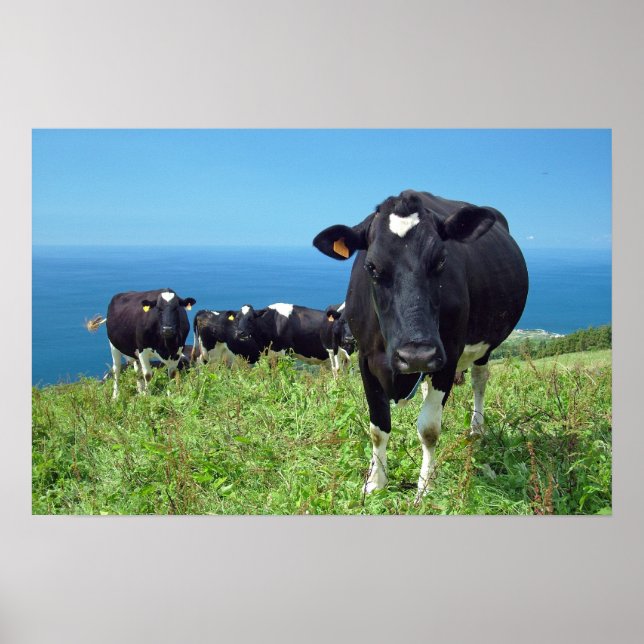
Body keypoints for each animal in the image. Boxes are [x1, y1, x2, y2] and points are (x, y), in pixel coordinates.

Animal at [313, 190, 528, 502]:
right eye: (371, 267)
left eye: (441, 261)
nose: (416, 354)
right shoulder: (366, 358)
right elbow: (378, 427)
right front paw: (375, 482)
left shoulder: (448, 355)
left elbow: (428, 429)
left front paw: (425, 488)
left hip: (481, 348)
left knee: (479, 380)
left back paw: (476, 430)